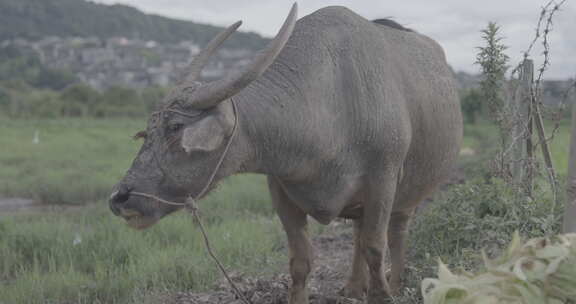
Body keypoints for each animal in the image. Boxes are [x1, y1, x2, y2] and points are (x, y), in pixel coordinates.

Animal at [109, 3, 464, 302]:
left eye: (175, 128)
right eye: (148, 131)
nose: (119, 198)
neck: (330, 106)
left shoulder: (383, 180)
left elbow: (376, 247)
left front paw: (382, 294)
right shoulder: (281, 189)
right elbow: (301, 261)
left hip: (410, 192)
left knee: (397, 231)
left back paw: (397, 282)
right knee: (358, 233)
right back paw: (352, 287)